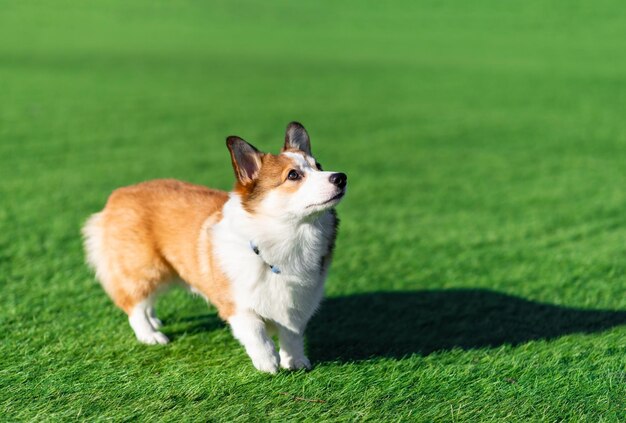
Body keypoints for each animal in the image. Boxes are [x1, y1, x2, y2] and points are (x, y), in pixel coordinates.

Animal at [81, 122, 346, 374]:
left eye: (319, 166)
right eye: (293, 175)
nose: (341, 177)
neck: (287, 235)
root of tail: (118, 195)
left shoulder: (298, 304)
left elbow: (292, 335)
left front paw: (296, 362)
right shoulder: (237, 305)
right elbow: (257, 334)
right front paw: (268, 363)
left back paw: (154, 321)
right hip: (145, 269)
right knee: (134, 303)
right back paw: (151, 335)